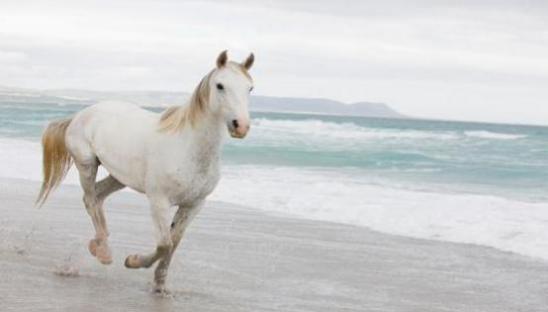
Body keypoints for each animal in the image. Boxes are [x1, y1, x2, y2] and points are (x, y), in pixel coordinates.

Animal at [36, 51, 255, 292]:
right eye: (220, 85)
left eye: (250, 88)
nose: (241, 126)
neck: (188, 147)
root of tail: (80, 115)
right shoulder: (159, 201)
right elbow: (165, 244)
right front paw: (132, 261)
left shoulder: (194, 205)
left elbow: (174, 243)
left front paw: (160, 284)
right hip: (87, 165)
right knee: (91, 199)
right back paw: (104, 252)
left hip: (119, 177)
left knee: (96, 196)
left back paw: (98, 246)